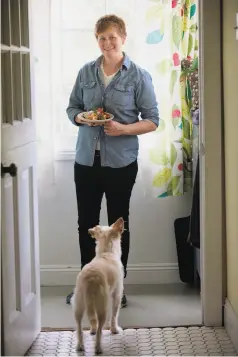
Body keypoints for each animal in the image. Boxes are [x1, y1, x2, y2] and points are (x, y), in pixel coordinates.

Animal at [71, 217, 124, 354]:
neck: (106, 252)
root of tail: (90, 278)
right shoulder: (117, 295)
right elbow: (115, 315)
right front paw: (115, 330)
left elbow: (91, 320)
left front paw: (92, 330)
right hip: (102, 306)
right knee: (100, 329)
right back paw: (98, 347)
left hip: (78, 304)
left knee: (79, 327)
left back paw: (80, 346)